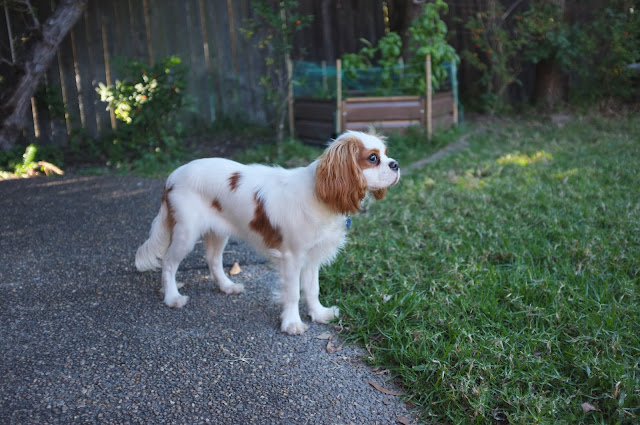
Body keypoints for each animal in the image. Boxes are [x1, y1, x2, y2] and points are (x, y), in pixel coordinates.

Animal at [135, 130, 400, 335]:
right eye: (373, 158)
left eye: (386, 154)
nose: (396, 164)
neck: (320, 193)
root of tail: (172, 176)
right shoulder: (292, 257)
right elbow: (293, 292)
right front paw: (292, 324)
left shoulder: (312, 257)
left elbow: (312, 289)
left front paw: (319, 314)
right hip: (186, 232)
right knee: (169, 262)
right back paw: (172, 297)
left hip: (219, 231)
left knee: (212, 259)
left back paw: (227, 286)